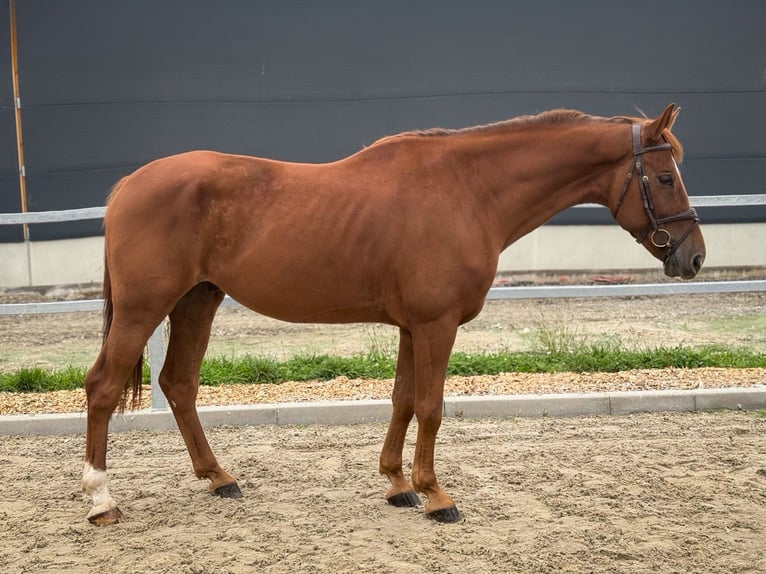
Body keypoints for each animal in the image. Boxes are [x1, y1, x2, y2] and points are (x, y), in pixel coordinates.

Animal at [82, 103, 708, 528]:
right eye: (664, 177)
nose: (694, 256)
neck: (466, 191)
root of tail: (128, 185)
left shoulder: (413, 326)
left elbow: (403, 399)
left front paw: (397, 485)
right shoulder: (436, 324)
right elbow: (430, 406)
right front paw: (436, 495)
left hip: (198, 301)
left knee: (178, 384)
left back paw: (219, 479)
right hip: (144, 309)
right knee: (104, 386)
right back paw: (101, 500)